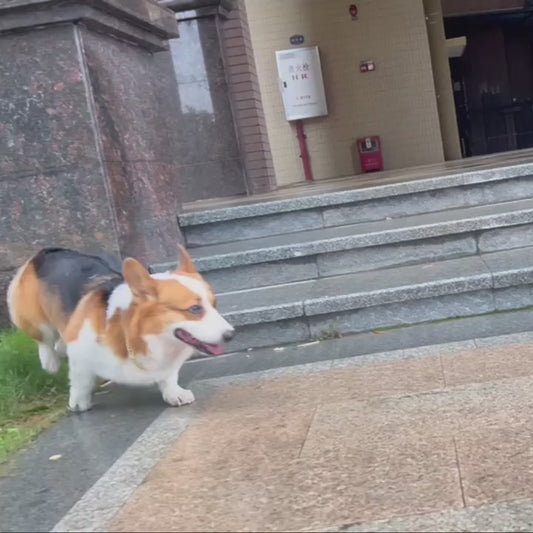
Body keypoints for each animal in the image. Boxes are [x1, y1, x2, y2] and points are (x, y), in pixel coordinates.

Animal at [6, 246, 233, 412]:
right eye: (195, 309)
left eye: (215, 304)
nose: (231, 335)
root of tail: (47, 252)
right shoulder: (80, 355)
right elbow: (80, 381)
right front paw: (79, 404)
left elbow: (169, 377)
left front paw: (174, 393)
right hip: (35, 320)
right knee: (43, 339)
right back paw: (50, 361)